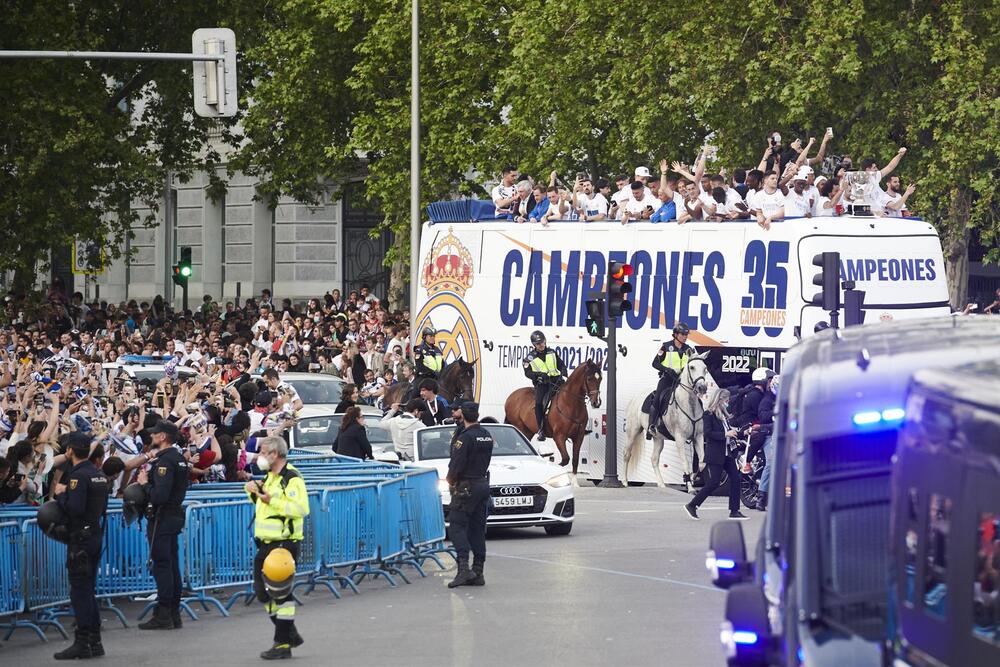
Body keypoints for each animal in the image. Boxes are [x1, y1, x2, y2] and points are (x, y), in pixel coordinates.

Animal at [620, 352, 716, 494]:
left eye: (705, 368)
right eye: (692, 367)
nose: (702, 388)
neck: (689, 405)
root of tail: (636, 397)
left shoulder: (698, 437)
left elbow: (702, 462)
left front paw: (693, 477)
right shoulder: (680, 439)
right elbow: (685, 462)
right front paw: (690, 487)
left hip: (658, 439)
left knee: (654, 459)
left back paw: (661, 484)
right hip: (632, 432)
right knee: (627, 454)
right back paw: (625, 482)